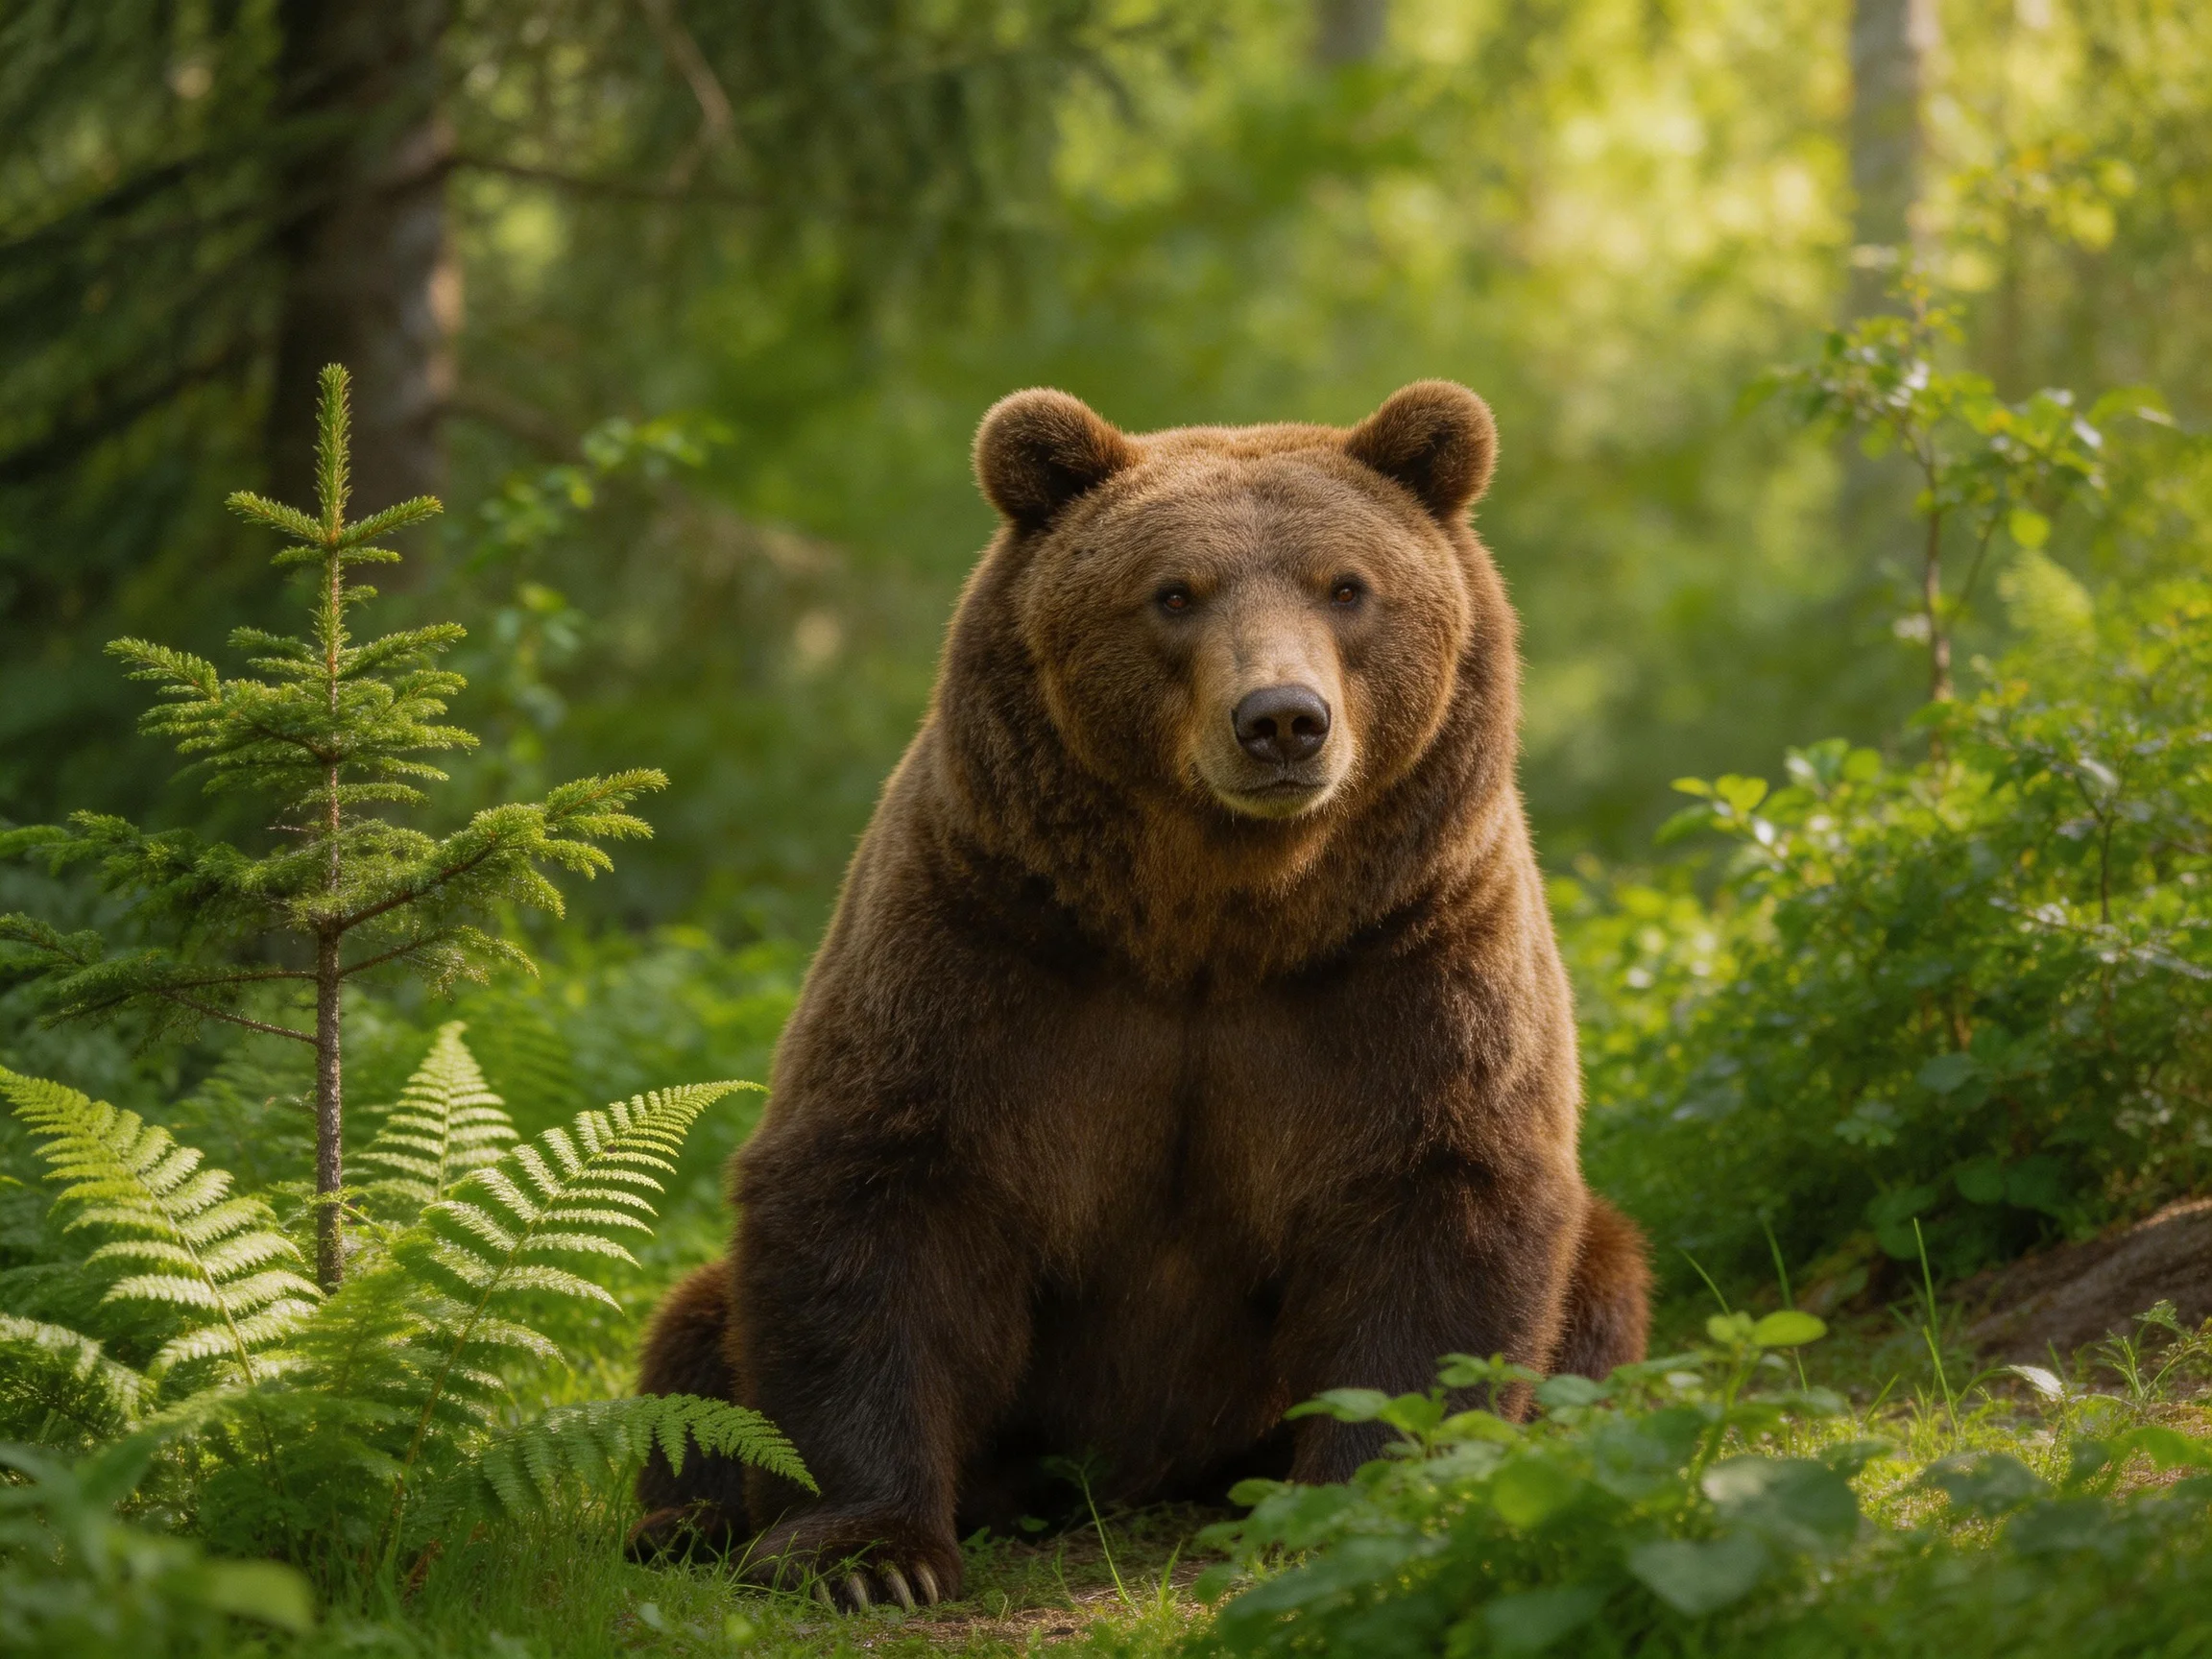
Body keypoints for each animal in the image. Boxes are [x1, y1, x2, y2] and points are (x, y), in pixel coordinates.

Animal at [630, 380, 1651, 1609]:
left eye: (1347, 586)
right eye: (1174, 593)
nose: (1282, 718)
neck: (1211, 922)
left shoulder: (1410, 961)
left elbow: (1441, 1211)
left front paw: (1369, 1507)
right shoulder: (980, 941)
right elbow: (875, 1190)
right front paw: (866, 1556)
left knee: (1600, 1280)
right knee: (694, 1336)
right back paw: (680, 1523)